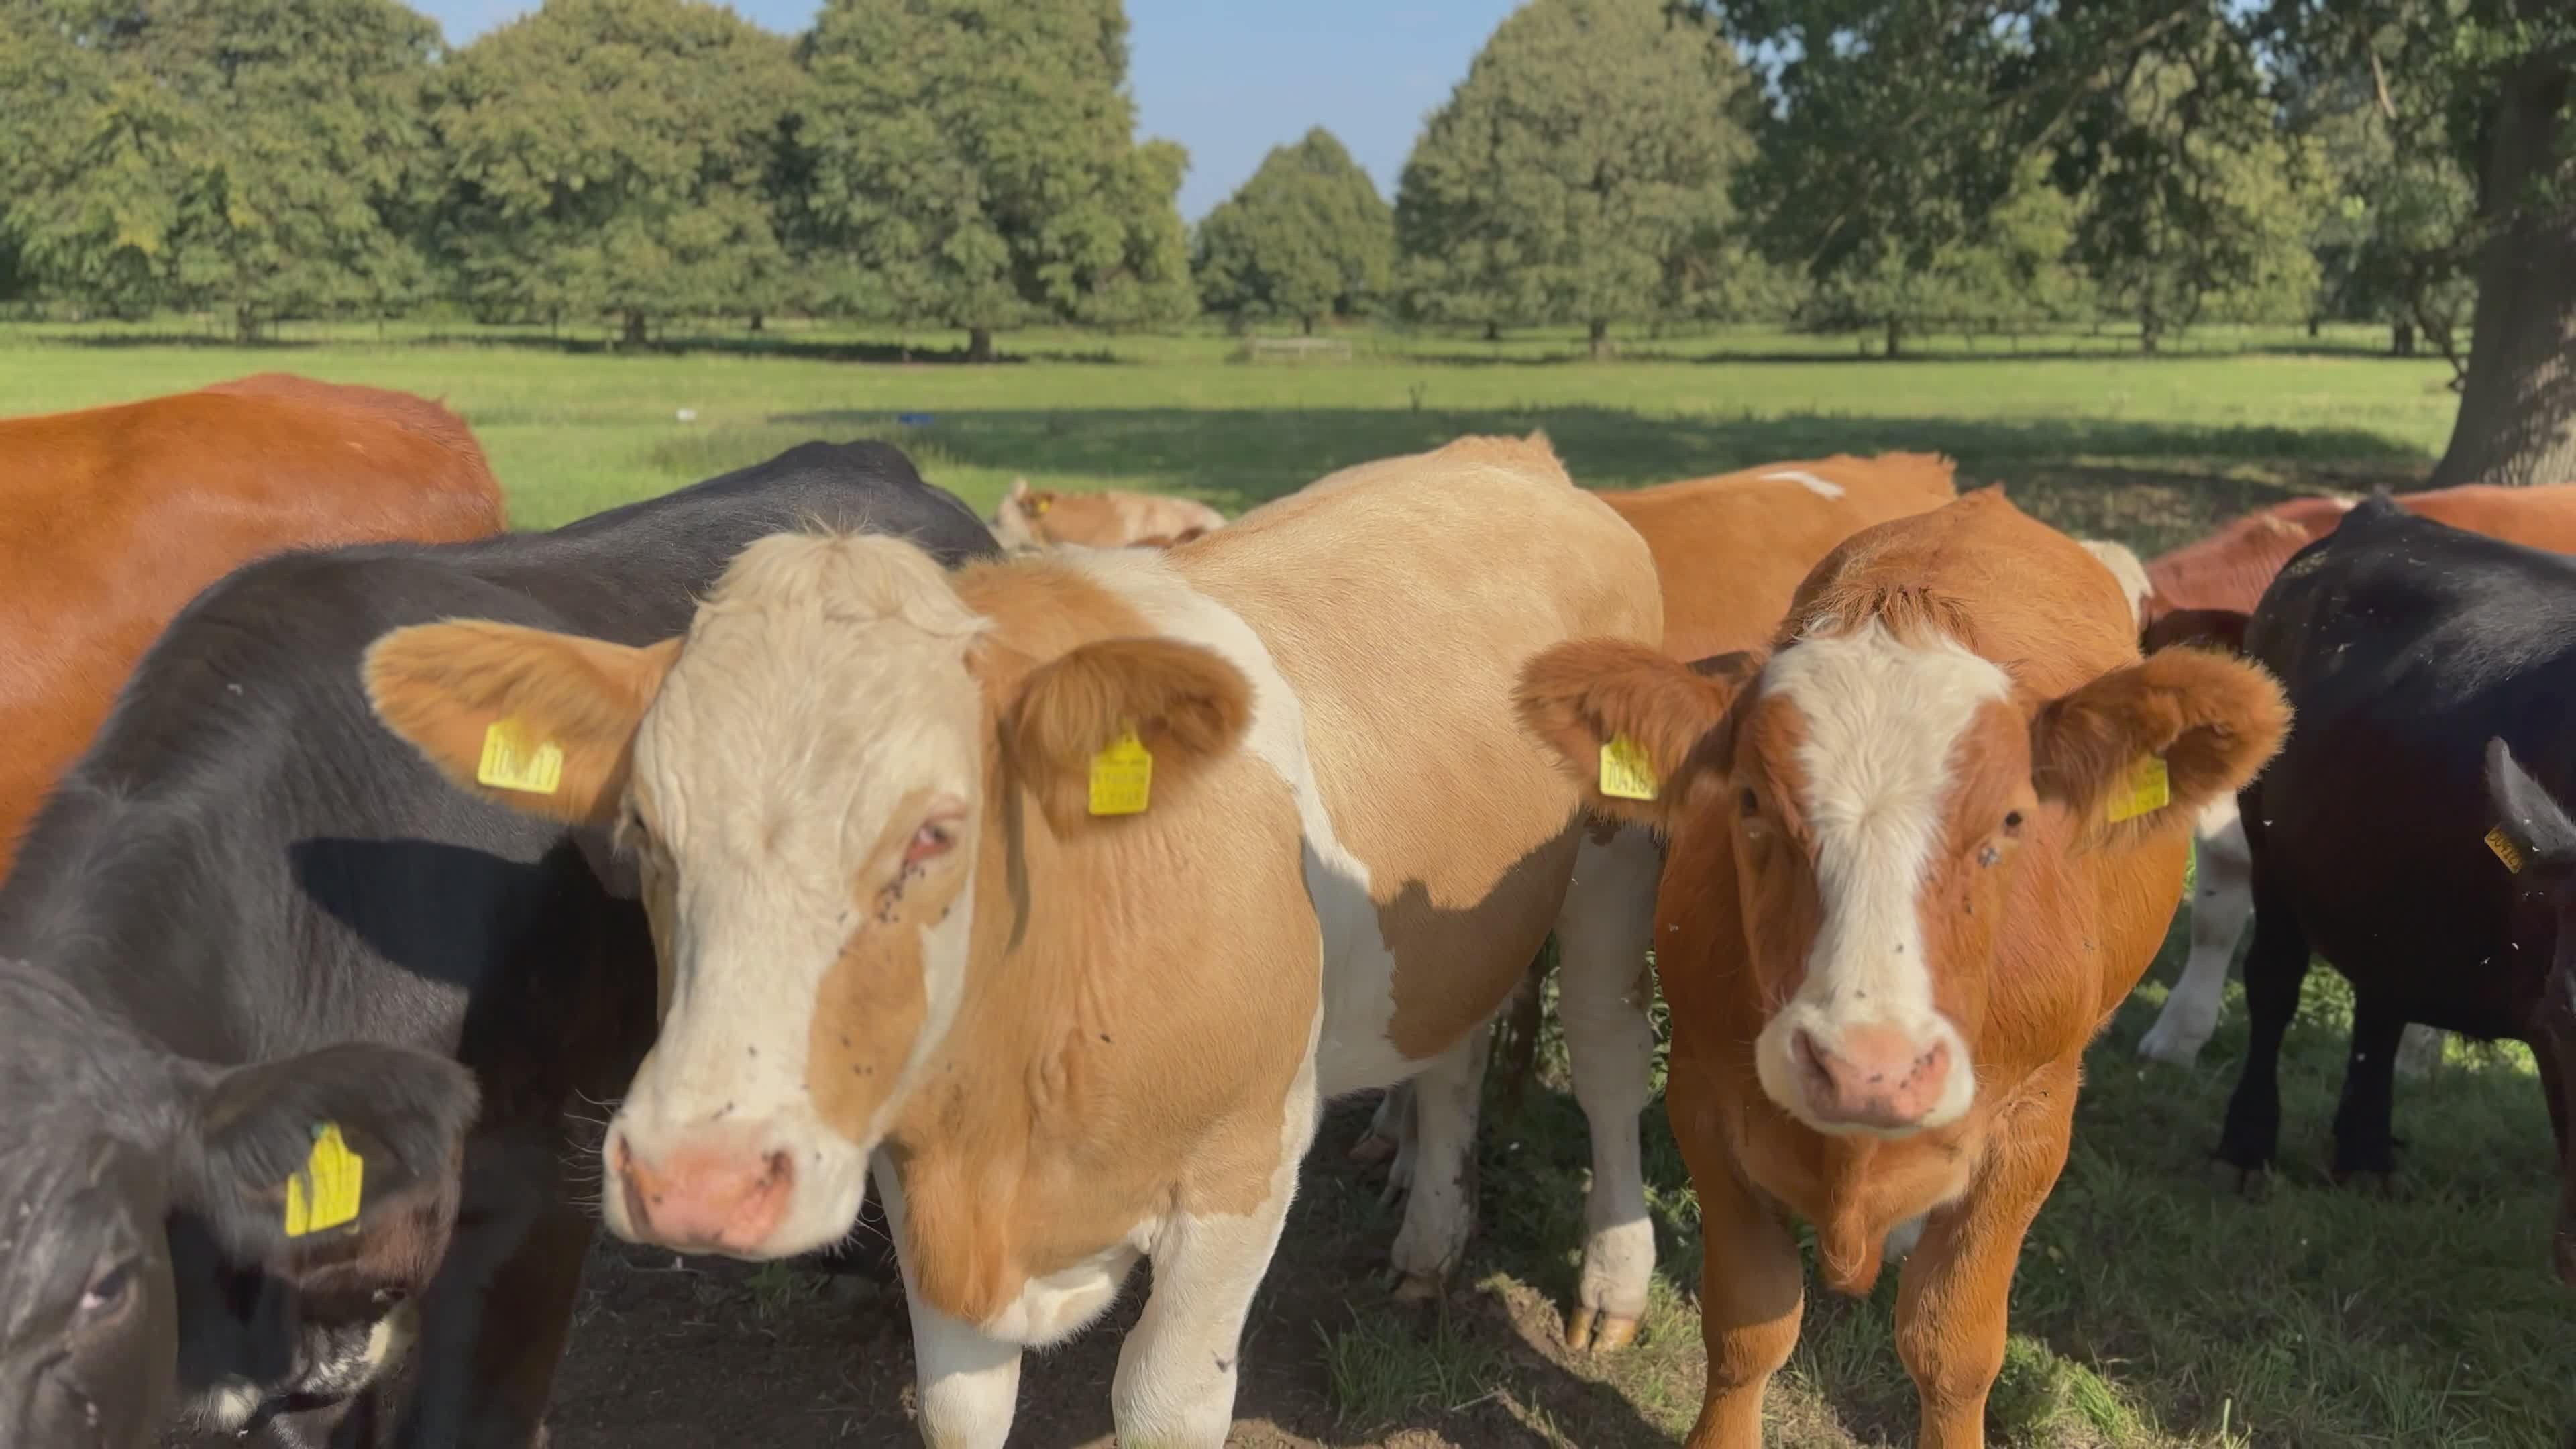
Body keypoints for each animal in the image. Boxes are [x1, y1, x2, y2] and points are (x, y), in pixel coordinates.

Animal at [1515, 486, 2288, 1447]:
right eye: (1750, 804)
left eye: (2011, 820)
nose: (1866, 1068)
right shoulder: (1703, 1098)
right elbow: (1746, 1324)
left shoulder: (2033, 1128)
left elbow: (1952, 1350)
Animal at [2212, 499, 2576, 1273]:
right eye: (2568, 1015)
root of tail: (2380, 514)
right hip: (2269, 848)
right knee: (2273, 983)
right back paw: (2246, 1148)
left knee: (2380, 1002)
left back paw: (2364, 1154)